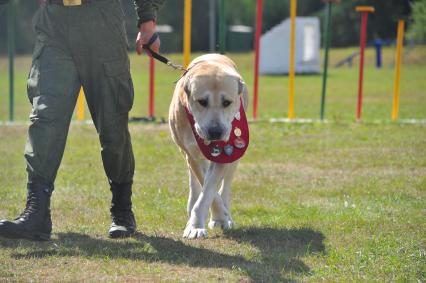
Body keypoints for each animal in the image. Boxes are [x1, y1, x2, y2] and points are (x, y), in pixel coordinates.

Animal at [169, 53, 250, 240]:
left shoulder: (225, 152)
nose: (215, 132)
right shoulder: (191, 153)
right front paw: (201, 221)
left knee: (226, 185)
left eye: (227, 102)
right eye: (202, 101)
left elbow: (209, 191)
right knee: (194, 179)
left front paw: (214, 220)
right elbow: (205, 185)